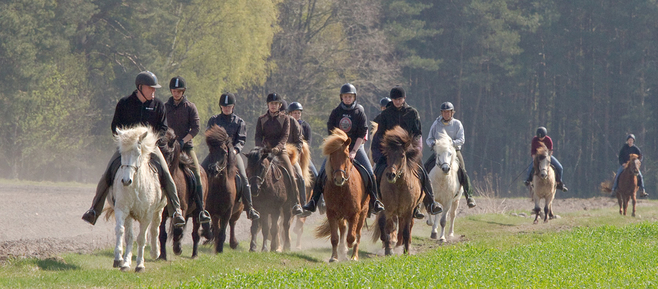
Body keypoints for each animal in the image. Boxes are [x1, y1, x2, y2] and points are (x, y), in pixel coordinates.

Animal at [105, 125, 167, 272]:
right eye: (122, 153)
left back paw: (155, 252)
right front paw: (121, 260)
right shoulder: (123, 210)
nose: (126, 181)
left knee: (155, 228)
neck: (136, 187)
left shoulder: (146, 216)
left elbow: (141, 239)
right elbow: (123, 233)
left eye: (137, 153)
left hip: (159, 210)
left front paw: (140, 265)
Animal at [156, 129, 208, 258]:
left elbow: (178, 230)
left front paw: (177, 249)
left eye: (169, 154)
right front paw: (162, 256)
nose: (161, 173)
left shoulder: (182, 208)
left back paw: (194, 254)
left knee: (195, 233)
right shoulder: (162, 212)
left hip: (196, 212)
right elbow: (163, 234)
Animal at [204, 124, 242, 252]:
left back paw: (233, 243)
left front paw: (219, 250)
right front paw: (216, 248)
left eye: (224, 151)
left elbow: (222, 232)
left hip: (237, 211)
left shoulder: (227, 212)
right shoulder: (213, 212)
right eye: (210, 150)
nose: (213, 169)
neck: (220, 188)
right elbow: (217, 231)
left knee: (233, 223)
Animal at [314, 128, 368, 260]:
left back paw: (354, 256)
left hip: (363, 212)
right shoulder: (332, 213)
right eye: (331, 156)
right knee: (343, 229)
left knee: (358, 233)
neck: (342, 189)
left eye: (346, 156)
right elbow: (335, 238)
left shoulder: (355, 213)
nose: (339, 179)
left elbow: (352, 236)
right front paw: (334, 257)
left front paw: (349, 248)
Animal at [368, 126, 420, 254]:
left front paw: (406, 251)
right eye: (387, 154)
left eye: (402, 155)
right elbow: (385, 226)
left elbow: (406, 231)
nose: (391, 175)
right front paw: (388, 248)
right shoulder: (387, 208)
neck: (399, 186)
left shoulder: (408, 211)